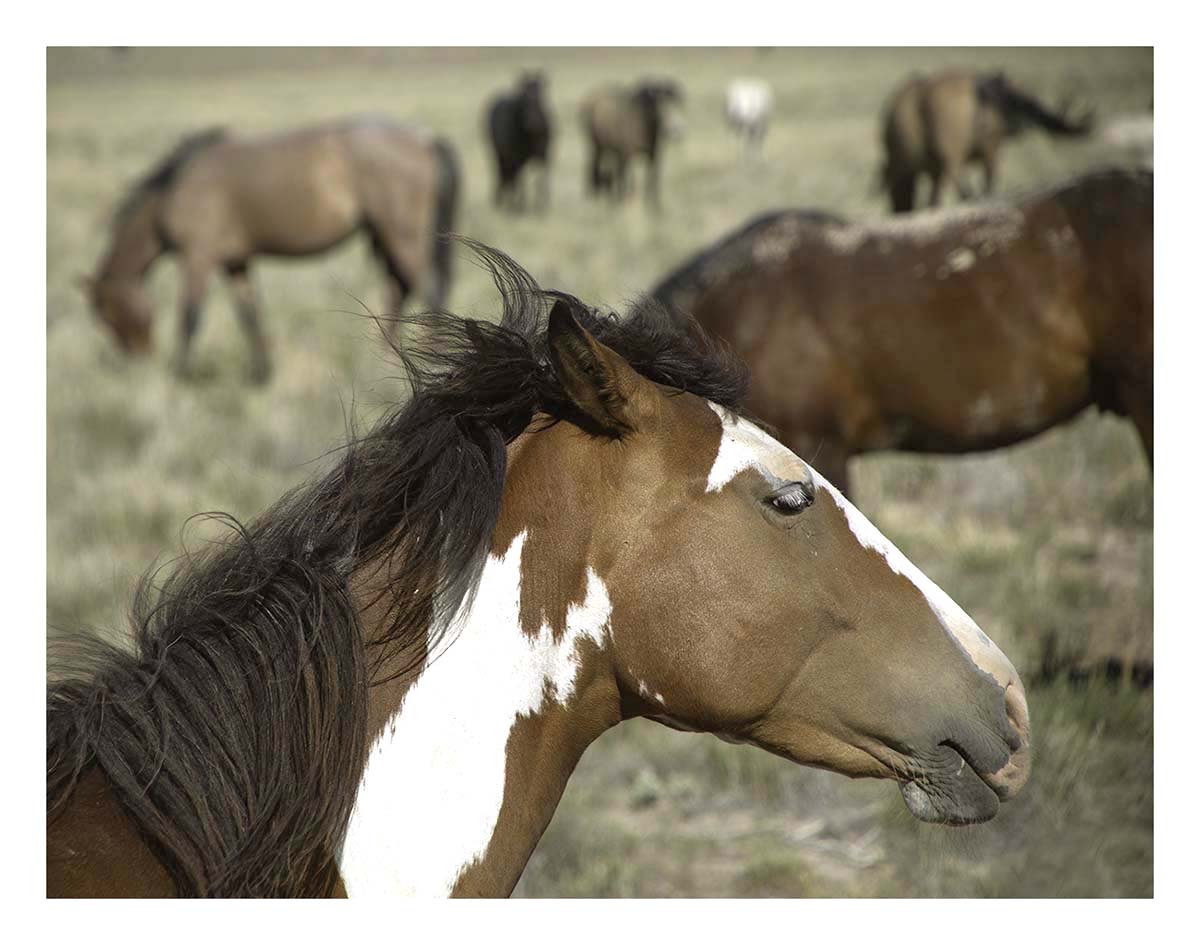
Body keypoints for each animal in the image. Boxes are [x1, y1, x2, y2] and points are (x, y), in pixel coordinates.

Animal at [79, 118, 460, 383]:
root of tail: (426, 140)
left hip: (402, 236)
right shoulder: (235, 263)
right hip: (386, 236)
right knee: (399, 290)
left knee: (428, 289)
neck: (174, 190)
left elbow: (190, 317)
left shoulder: (198, 259)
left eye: (106, 315)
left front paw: (178, 374)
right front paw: (262, 375)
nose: (138, 360)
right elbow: (250, 314)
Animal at [486, 71, 553, 212]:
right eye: (524, 97)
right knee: (503, 174)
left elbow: (541, 179)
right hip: (497, 153)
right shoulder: (516, 156)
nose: (533, 122)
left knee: (508, 176)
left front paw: (542, 206)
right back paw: (505, 201)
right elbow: (520, 180)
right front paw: (520, 206)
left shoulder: (544, 154)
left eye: (540, 95)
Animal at [580, 79, 683, 208]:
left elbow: (652, 179)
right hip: (597, 146)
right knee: (593, 165)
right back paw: (595, 196)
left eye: (676, 105)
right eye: (658, 106)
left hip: (611, 150)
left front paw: (655, 207)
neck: (643, 125)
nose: (676, 131)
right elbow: (626, 177)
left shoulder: (654, 155)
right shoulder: (627, 153)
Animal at [881, 69, 1094, 213]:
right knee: (946, 191)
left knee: (909, 200)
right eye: (1022, 102)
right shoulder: (991, 148)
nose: (1024, 126)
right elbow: (990, 184)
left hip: (904, 165)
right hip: (948, 159)